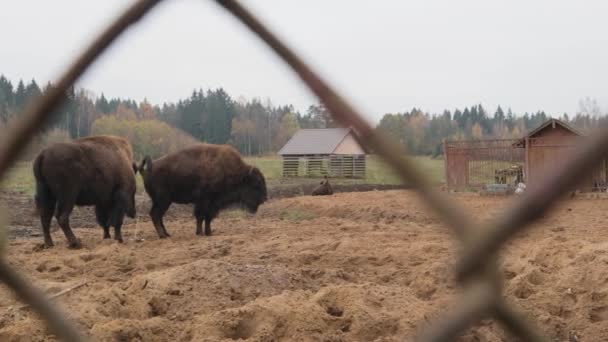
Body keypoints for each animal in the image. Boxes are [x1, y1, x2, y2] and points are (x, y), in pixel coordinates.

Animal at [140, 144, 268, 238]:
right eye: (256, 183)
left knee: (158, 216)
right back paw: (162, 235)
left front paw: (209, 233)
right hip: (163, 200)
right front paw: (200, 233)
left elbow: (208, 218)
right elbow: (201, 216)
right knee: (155, 214)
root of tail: (146, 170)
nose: (264, 198)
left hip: (162, 201)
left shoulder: (213, 204)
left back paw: (167, 234)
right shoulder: (204, 201)